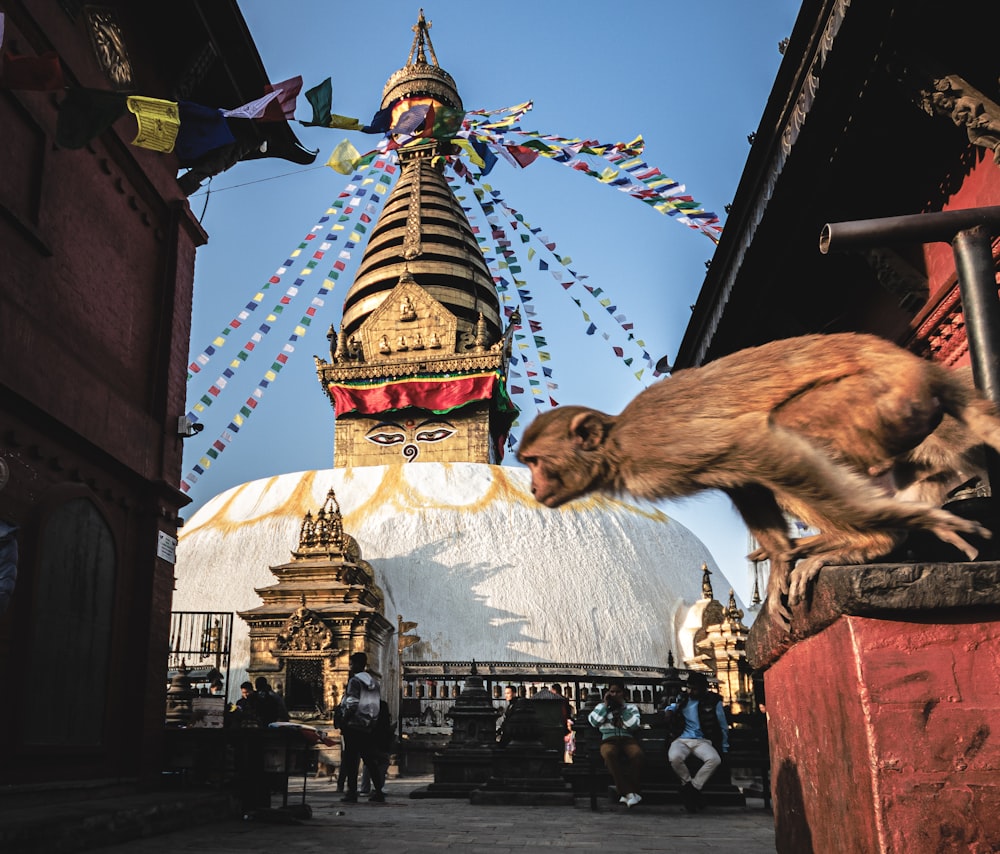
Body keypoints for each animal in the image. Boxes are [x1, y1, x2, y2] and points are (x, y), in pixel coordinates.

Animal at [516, 334, 1000, 628]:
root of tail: (919, 366)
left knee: (789, 431)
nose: (535, 488)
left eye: (537, 461)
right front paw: (780, 563)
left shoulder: (664, 448)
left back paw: (878, 539)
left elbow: (758, 445)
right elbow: (743, 481)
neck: (616, 447)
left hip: (883, 398)